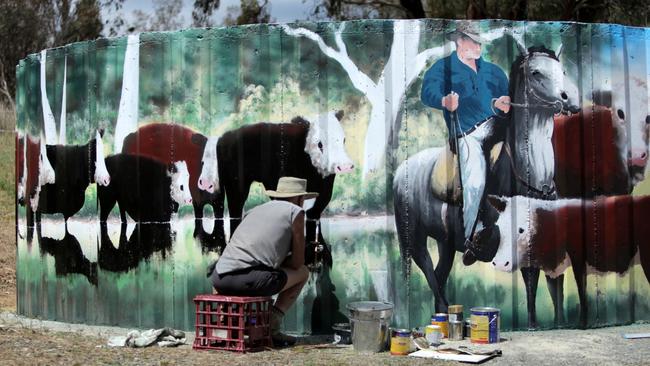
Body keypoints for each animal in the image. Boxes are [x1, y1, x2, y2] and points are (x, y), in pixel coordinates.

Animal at [486, 194, 648, 326]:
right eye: (499, 227)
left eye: (521, 230)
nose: (500, 263)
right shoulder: (549, 267)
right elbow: (549, 295)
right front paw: (552, 324)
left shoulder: (578, 258)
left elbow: (581, 290)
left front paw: (582, 323)